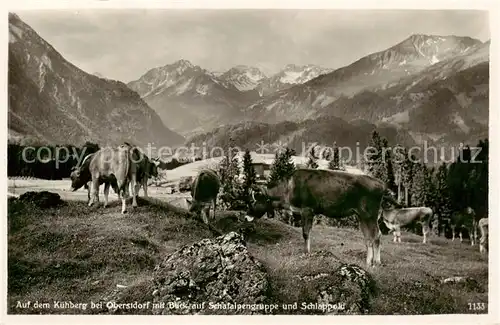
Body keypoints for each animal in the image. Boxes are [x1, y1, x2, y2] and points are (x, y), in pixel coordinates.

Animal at [244, 168, 396, 268]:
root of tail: (381, 184)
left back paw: (376, 262)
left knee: (377, 235)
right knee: (368, 238)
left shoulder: (307, 210)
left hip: (370, 214)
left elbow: (306, 233)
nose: (246, 217)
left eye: (252, 201)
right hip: (361, 216)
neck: (288, 189)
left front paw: (306, 253)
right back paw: (368, 261)